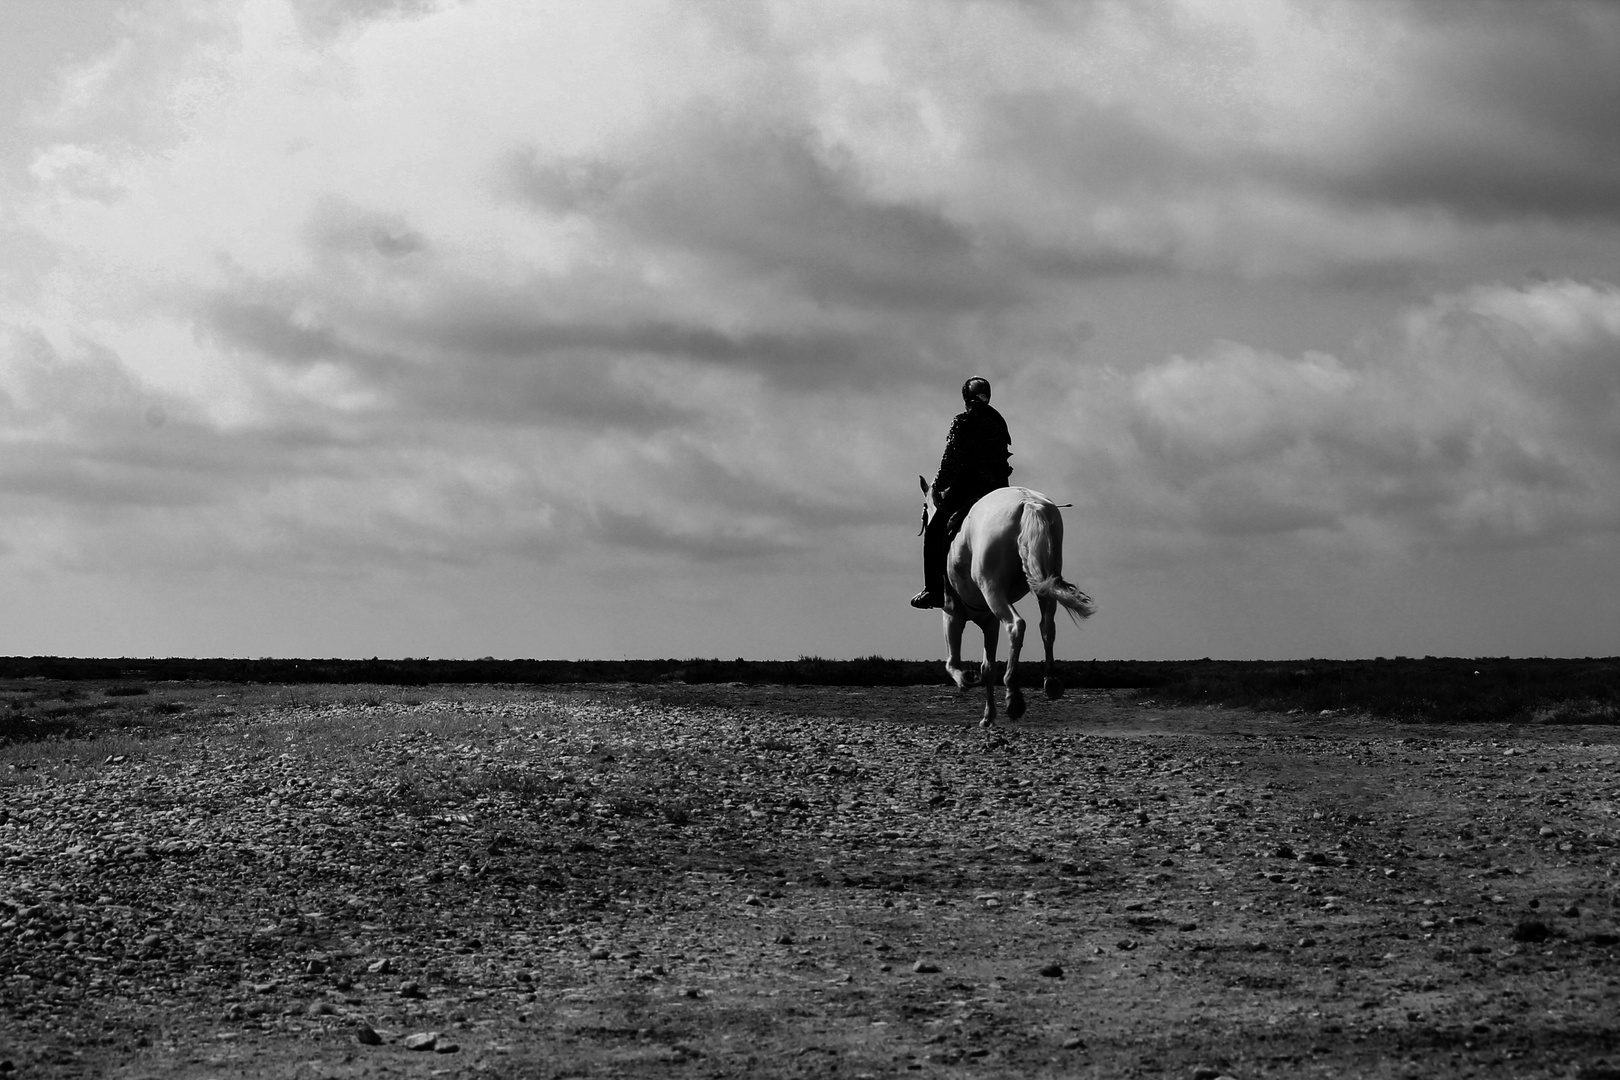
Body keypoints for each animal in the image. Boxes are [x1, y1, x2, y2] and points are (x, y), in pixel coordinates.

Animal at [920, 479, 1095, 725]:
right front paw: (988, 716)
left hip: (992, 589)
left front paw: (966, 679)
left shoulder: (952, 615)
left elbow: (952, 662)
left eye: (926, 512)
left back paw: (1013, 697)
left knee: (1016, 625)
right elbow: (988, 668)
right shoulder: (990, 622)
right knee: (1047, 627)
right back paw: (1050, 682)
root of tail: (1028, 502)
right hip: (1043, 584)